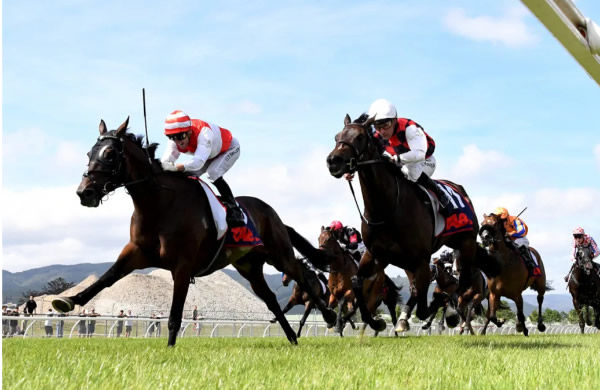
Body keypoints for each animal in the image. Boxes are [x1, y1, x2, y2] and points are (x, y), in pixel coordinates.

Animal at [51, 117, 338, 346]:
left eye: (110, 154)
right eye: (89, 152)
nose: (84, 192)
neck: (159, 204)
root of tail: (271, 212)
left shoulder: (182, 266)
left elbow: (174, 316)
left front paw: (169, 350)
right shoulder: (136, 252)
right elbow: (106, 278)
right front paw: (69, 300)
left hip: (279, 254)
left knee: (301, 275)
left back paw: (329, 315)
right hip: (249, 267)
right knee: (271, 299)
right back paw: (291, 338)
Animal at [326, 113, 486, 332]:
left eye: (359, 137)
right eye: (336, 137)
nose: (333, 161)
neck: (387, 208)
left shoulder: (421, 260)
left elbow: (427, 305)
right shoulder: (375, 254)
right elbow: (357, 283)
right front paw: (375, 321)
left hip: (465, 243)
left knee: (462, 280)